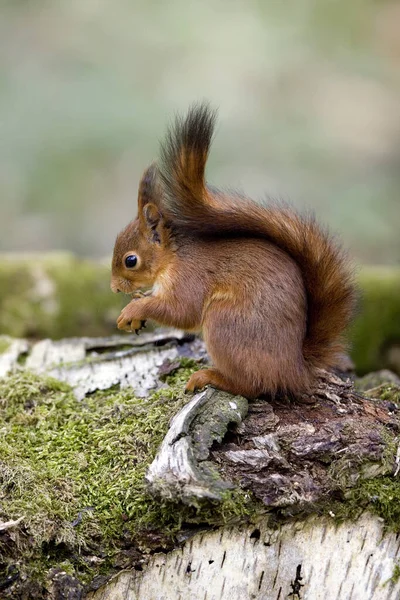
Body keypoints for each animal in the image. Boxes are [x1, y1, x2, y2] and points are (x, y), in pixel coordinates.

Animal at [110, 104, 356, 398]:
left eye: (131, 260)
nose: (114, 288)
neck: (173, 258)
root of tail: (295, 370)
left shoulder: (190, 279)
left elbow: (182, 311)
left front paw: (134, 309)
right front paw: (136, 310)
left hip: (225, 323)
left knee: (253, 385)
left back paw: (210, 377)